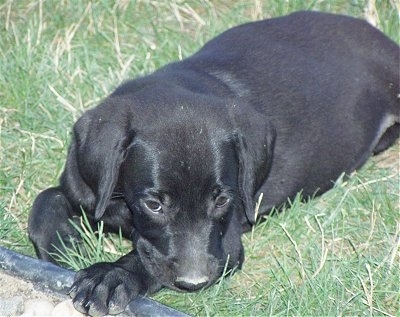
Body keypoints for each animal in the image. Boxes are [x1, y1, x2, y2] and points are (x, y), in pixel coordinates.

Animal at [28, 11, 400, 314]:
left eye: (221, 200)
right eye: (154, 205)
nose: (196, 283)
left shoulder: (226, 245)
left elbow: (147, 262)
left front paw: (112, 276)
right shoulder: (84, 186)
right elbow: (45, 202)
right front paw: (64, 247)